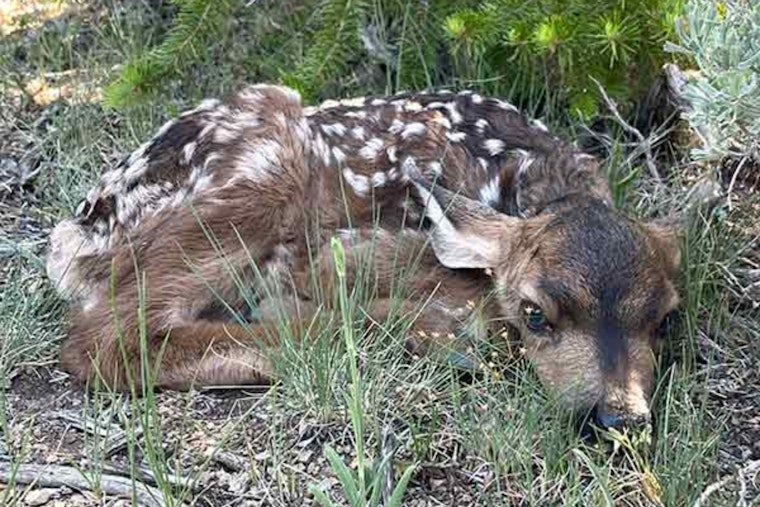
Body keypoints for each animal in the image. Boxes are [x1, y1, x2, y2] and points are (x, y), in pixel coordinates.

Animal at [46, 84, 683, 429]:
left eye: (665, 320)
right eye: (535, 313)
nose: (618, 418)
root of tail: (83, 228)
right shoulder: (335, 252)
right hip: (264, 165)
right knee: (102, 339)